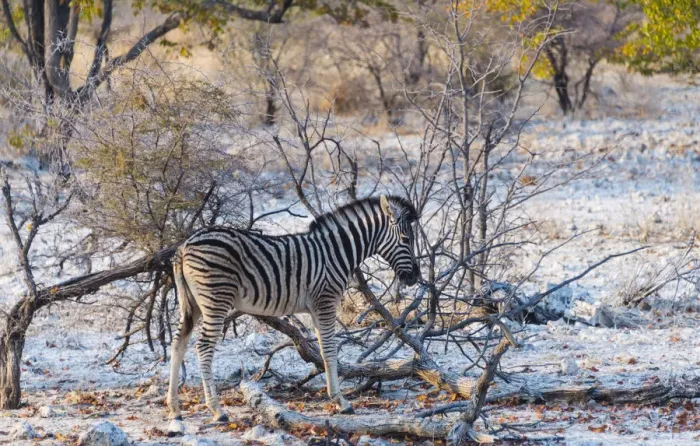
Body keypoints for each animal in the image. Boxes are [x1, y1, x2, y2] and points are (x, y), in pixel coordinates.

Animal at [166, 195, 419, 427]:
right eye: (406, 239)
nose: (414, 277)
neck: (335, 253)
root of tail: (184, 245)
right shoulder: (325, 300)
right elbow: (330, 349)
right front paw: (341, 401)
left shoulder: (316, 307)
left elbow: (324, 349)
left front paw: (336, 397)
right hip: (215, 299)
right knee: (203, 346)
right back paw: (217, 410)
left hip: (192, 304)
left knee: (179, 343)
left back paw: (175, 409)